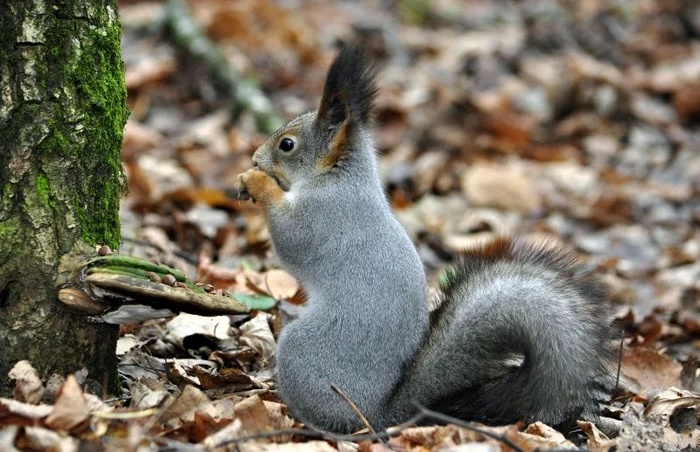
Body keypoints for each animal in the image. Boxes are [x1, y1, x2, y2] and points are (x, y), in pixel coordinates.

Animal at [237, 46, 616, 434]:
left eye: (287, 144)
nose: (254, 157)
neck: (338, 177)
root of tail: (378, 413)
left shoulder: (324, 216)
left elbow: (290, 242)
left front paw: (257, 181)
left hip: (302, 354)